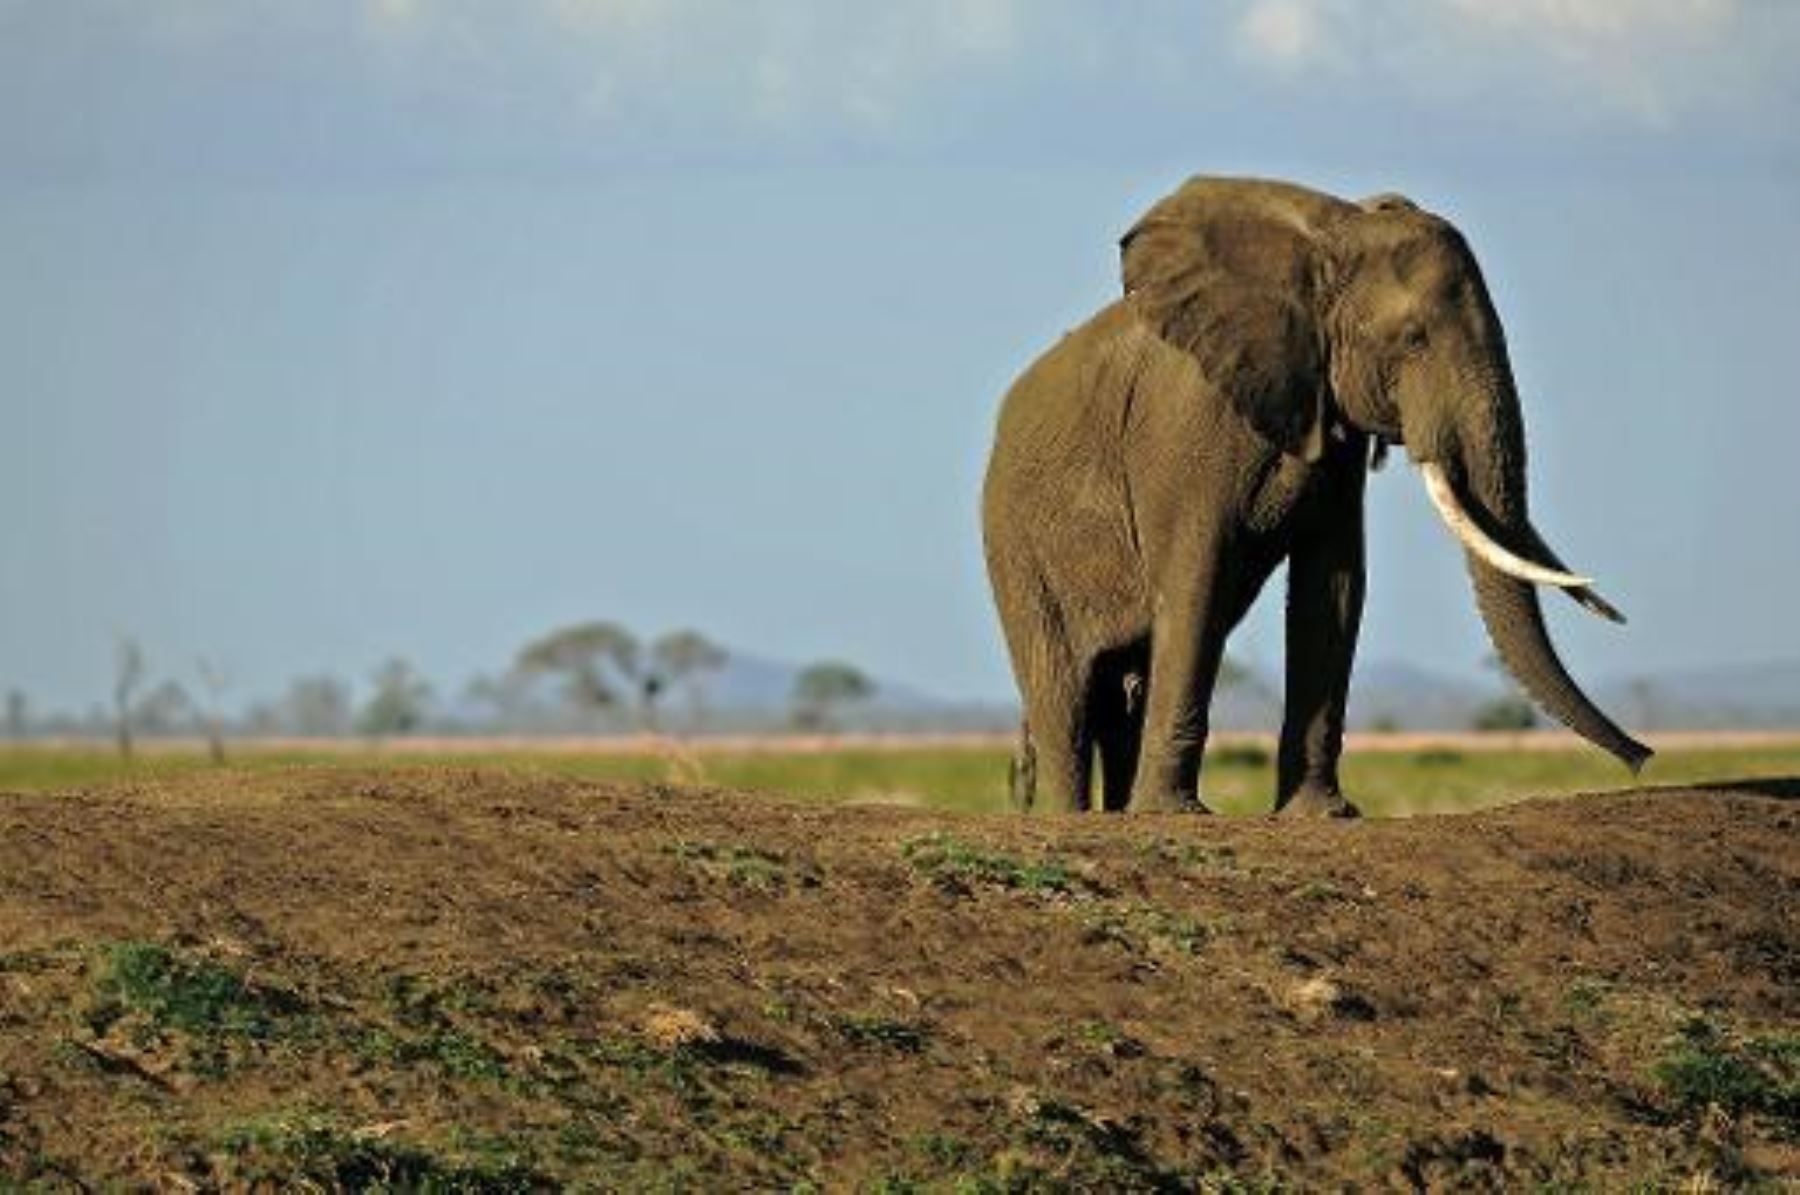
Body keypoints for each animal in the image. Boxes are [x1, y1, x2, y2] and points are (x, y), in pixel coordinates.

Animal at [979, 175, 1648, 813]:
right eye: (1414, 338)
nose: (1642, 757)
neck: (1328, 239)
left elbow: (1334, 586)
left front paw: (1323, 814)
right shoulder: (1187, 424)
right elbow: (1197, 580)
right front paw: (1175, 816)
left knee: (1123, 687)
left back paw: (1117, 813)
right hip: (1014, 546)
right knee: (1066, 691)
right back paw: (1079, 815)